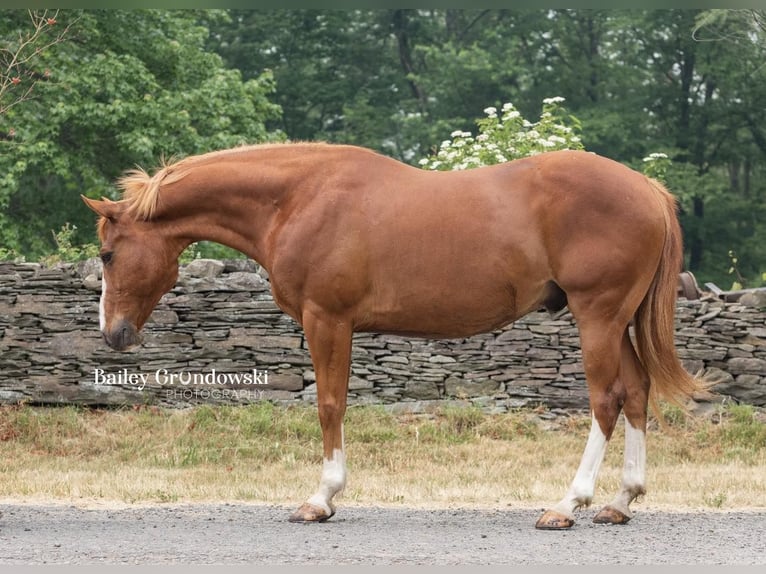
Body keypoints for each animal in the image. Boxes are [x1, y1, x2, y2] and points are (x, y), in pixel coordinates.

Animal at [82, 144, 704, 532]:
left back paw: (568, 504)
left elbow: (329, 404)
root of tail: (648, 190)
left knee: (605, 400)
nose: (112, 334)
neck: (299, 198)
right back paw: (620, 501)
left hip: (597, 314)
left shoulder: (327, 319)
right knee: (637, 393)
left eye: (108, 254)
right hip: (617, 321)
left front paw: (322, 498)